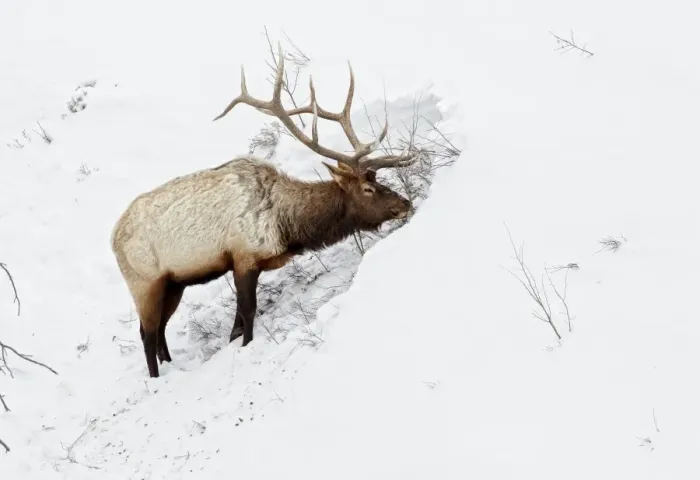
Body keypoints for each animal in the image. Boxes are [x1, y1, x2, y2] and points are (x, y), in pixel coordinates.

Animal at [110, 44, 416, 378]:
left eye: (377, 180)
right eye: (367, 189)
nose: (405, 203)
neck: (287, 227)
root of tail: (113, 239)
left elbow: (236, 322)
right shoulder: (244, 256)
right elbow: (247, 312)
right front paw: (246, 346)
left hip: (173, 283)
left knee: (159, 330)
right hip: (144, 281)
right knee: (147, 333)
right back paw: (155, 378)